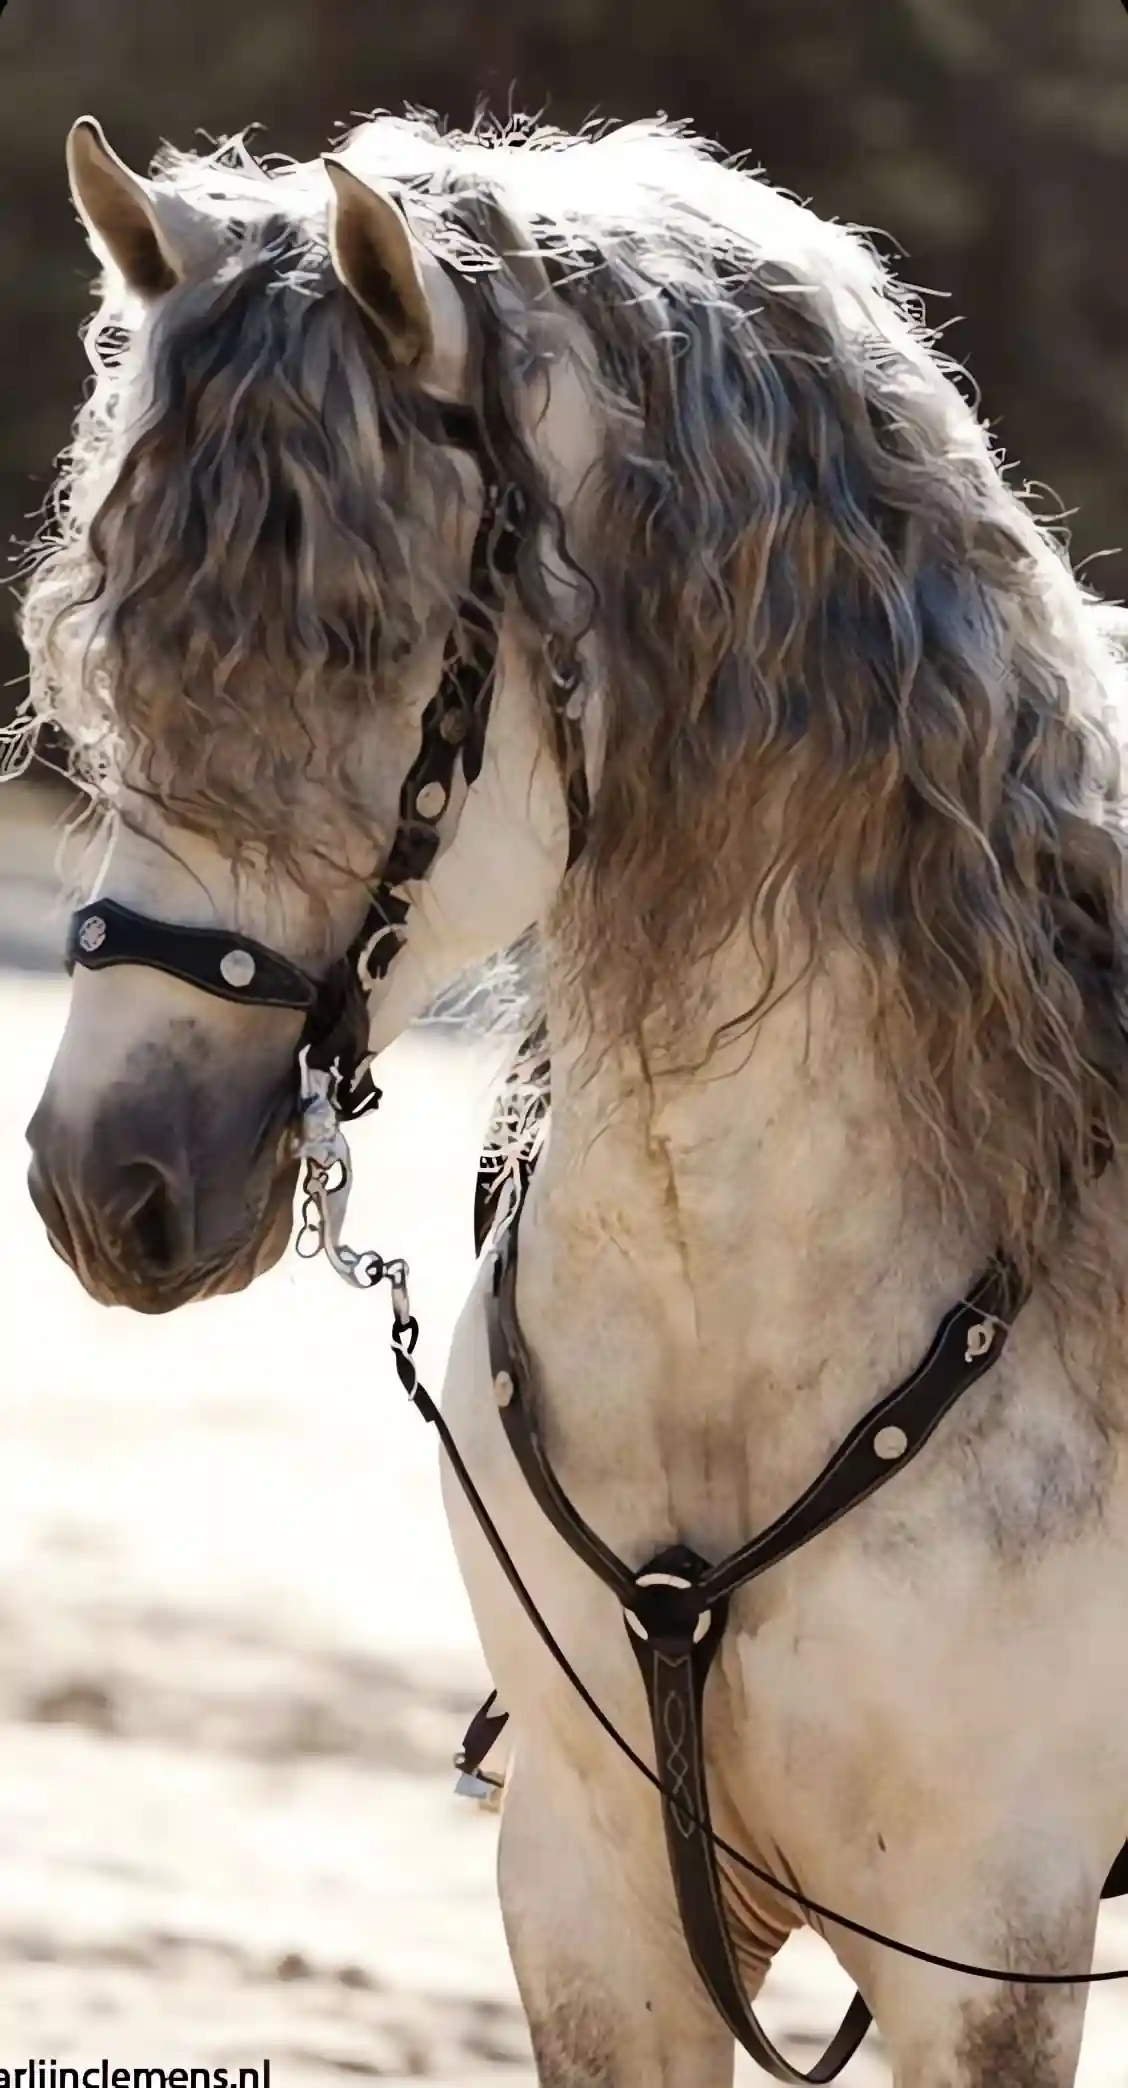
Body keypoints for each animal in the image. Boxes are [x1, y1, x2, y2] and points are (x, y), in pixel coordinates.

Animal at [18, 107, 1128, 2087]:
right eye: (117, 637)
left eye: (359, 636)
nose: (104, 1181)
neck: (739, 1307)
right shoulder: (595, 1897)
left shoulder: (990, 1940)